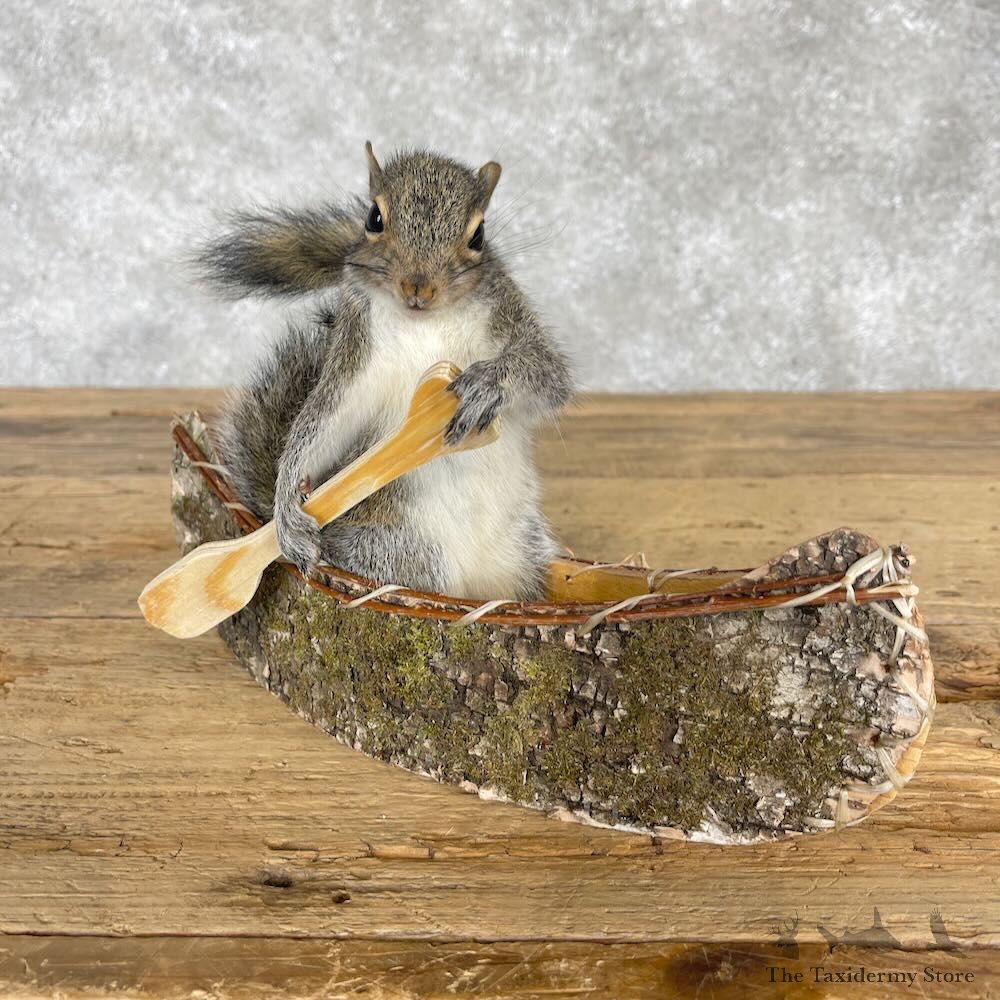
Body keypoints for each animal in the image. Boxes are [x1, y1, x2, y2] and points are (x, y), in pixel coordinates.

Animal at [197, 142, 573, 601]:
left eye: (478, 236)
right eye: (373, 218)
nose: (419, 287)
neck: (424, 321)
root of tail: (475, 586)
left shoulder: (507, 312)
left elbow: (548, 374)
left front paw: (487, 383)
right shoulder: (357, 356)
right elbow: (324, 423)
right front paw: (286, 507)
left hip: (525, 551)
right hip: (401, 550)